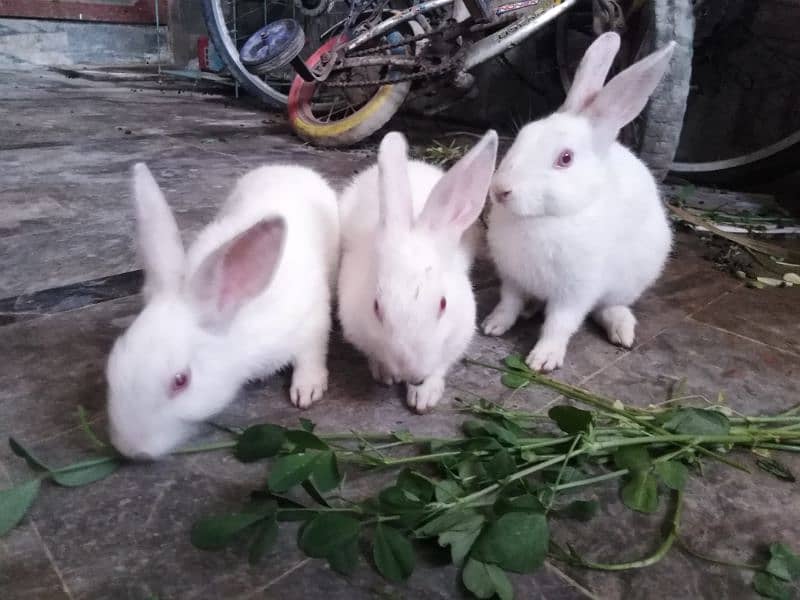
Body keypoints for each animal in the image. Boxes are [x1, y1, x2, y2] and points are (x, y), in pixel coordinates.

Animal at [105, 162, 338, 458]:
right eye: (113, 362)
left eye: (181, 380)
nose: (131, 449)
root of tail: (289, 167)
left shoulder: (312, 320)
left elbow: (312, 355)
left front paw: (307, 391)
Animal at [340, 131, 500, 412]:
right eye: (376, 307)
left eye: (443, 304)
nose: (411, 374)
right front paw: (385, 374)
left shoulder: (457, 336)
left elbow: (440, 366)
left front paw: (424, 396)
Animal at [482, 32, 676, 372]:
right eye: (523, 135)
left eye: (565, 158)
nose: (501, 190)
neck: (544, 218)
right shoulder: (512, 279)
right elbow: (508, 303)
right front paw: (494, 325)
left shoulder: (575, 292)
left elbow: (560, 324)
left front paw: (543, 359)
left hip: (629, 281)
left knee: (608, 307)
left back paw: (622, 330)